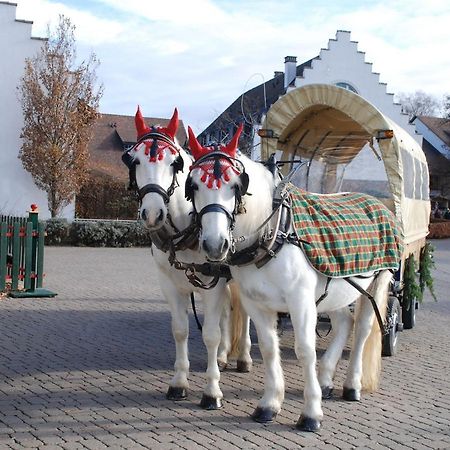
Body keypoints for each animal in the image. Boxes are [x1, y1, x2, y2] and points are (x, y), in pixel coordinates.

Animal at [121, 108, 251, 408]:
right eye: (135, 160)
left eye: (174, 163)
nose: (153, 213)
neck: (185, 229)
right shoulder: (169, 283)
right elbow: (180, 329)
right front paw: (179, 382)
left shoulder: (214, 284)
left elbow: (210, 335)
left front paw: (212, 391)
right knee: (227, 313)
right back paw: (223, 356)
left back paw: (244, 357)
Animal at [185, 125, 400, 430]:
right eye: (193, 186)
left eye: (236, 186)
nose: (215, 245)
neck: (275, 232)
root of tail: (378, 202)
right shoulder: (257, 304)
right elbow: (268, 348)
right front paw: (269, 404)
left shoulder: (301, 302)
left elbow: (305, 350)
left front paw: (311, 413)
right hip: (334, 292)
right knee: (344, 323)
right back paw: (325, 381)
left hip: (377, 282)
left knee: (362, 329)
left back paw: (351, 386)